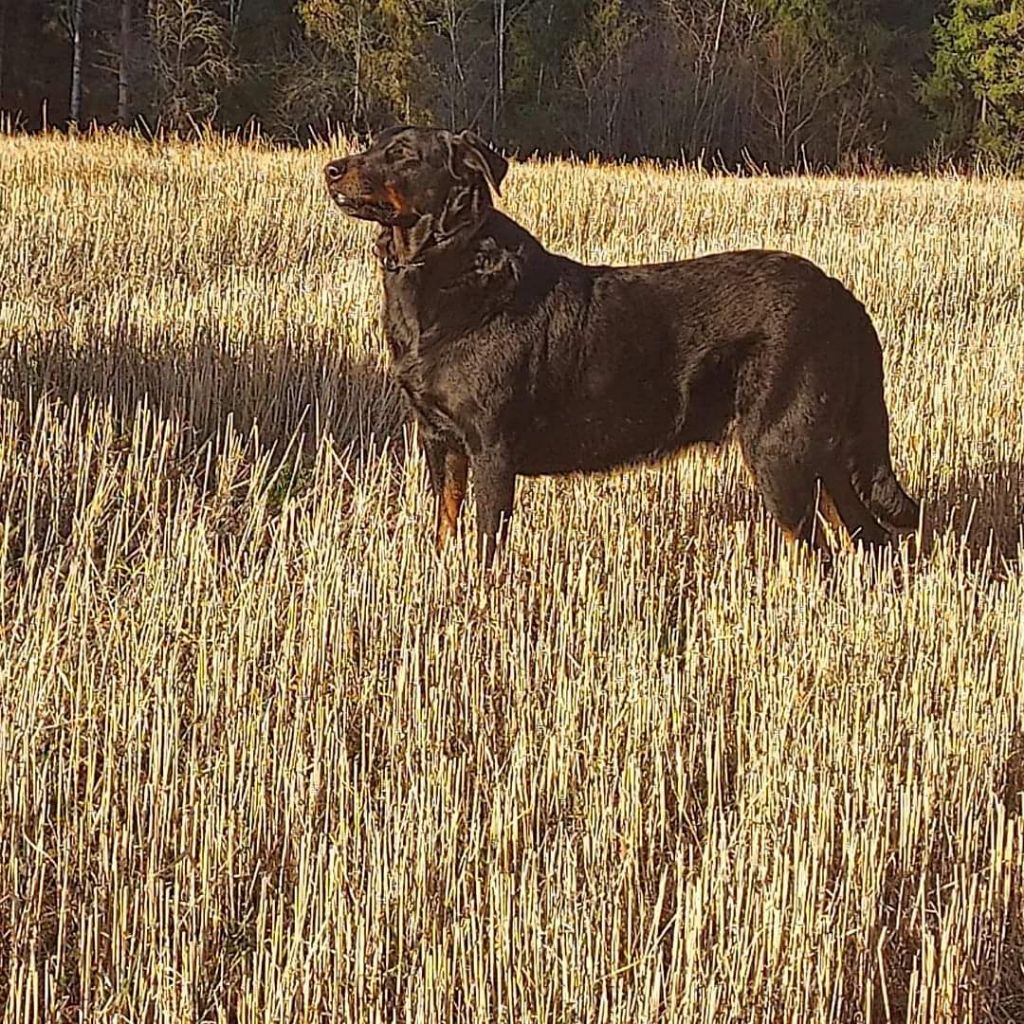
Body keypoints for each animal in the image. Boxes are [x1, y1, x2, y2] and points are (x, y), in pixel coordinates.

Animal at [323, 125, 917, 569]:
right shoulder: (439, 439)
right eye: (373, 144)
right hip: (823, 451)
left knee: (820, 551)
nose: (331, 168)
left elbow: (486, 540)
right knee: (870, 537)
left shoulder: (491, 447)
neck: (443, 269)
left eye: (402, 155)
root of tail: (846, 301)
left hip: (780, 448)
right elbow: (445, 525)